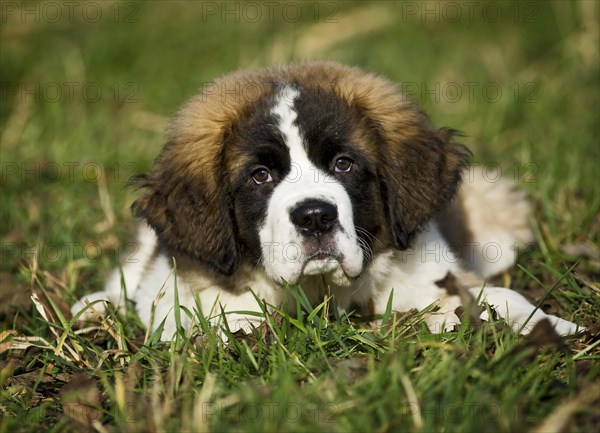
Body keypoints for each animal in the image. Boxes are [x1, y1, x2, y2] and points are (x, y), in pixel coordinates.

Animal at [70, 61, 580, 338]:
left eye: (343, 165)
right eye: (260, 176)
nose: (315, 218)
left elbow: (497, 296)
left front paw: (555, 330)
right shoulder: (181, 297)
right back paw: (93, 309)